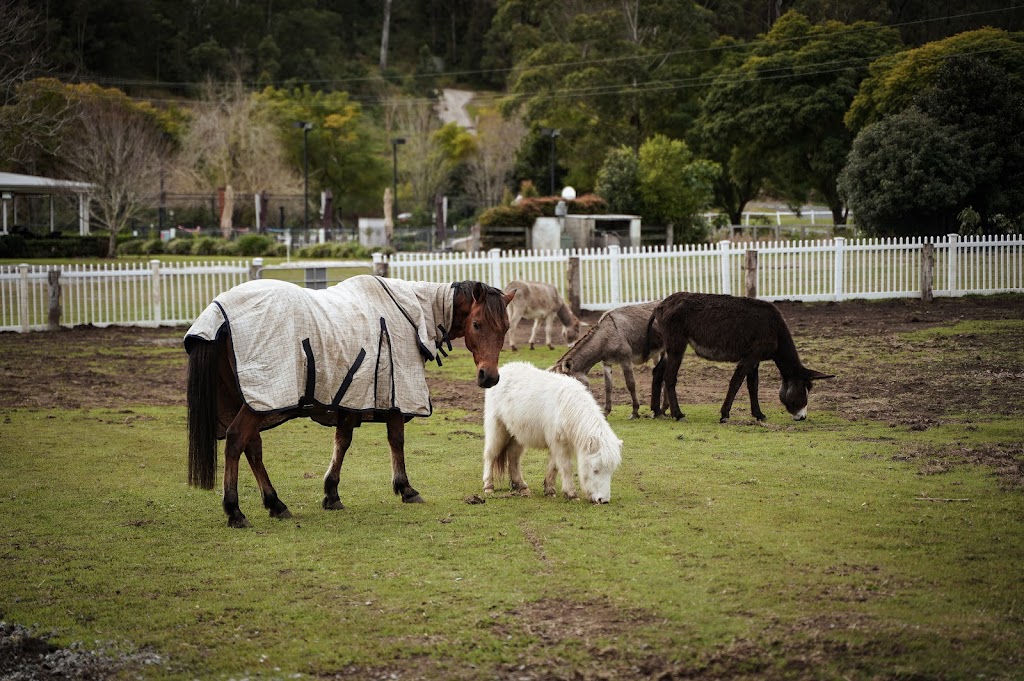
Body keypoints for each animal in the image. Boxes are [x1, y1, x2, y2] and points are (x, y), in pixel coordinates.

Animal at [186, 274, 512, 524]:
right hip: (262, 398)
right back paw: (234, 510)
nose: (489, 377)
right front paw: (406, 488)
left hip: (253, 400)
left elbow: (342, 442)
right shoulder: (396, 393)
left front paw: (331, 493)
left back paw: (275, 503)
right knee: (236, 440)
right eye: (477, 324)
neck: (413, 313)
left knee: (252, 446)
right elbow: (396, 439)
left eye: (506, 328)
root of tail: (218, 315)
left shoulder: (352, 397)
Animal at [481, 360, 618, 499]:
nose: (603, 500)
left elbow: (554, 466)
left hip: (516, 434)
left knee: (513, 457)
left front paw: (549, 489)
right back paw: (488, 486)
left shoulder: (558, 444)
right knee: (491, 454)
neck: (565, 407)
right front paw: (571, 493)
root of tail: (504, 370)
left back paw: (521, 487)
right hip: (497, 429)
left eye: (611, 471)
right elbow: (565, 466)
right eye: (595, 470)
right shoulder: (559, 444)